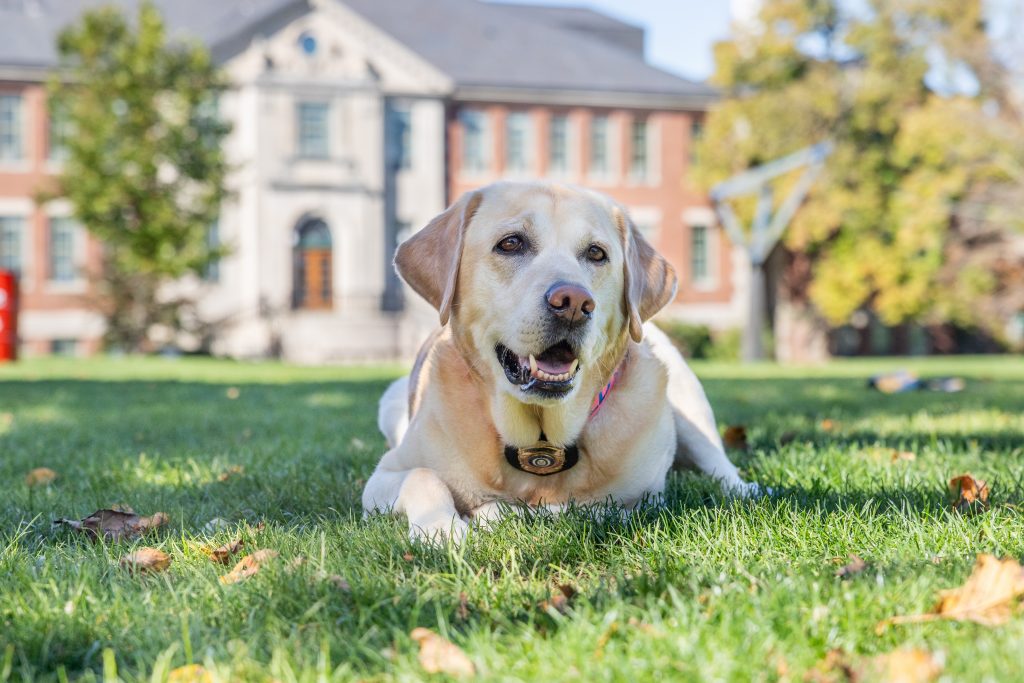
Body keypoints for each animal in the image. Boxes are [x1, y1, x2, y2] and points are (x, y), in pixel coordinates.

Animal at [364, 183, 757, 544]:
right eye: (511, 243)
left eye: (596, 253)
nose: (574, 303)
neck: (540, 438)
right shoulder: (381, 477)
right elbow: (422, 476)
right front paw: (442, 528)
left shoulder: (645, 499)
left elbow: (585, 507)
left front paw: (495, 512)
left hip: (690, 408)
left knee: (722, 467)